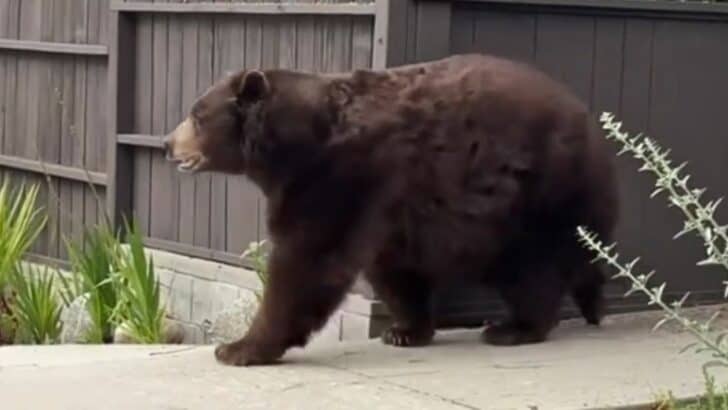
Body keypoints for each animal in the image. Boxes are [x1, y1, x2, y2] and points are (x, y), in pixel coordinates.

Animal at [163, 53, 619, 366]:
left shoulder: (339, 176)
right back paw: (589, 304)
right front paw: (405, 330)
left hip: (532, 193)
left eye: (196, 115)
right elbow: (394, 267)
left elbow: (307, 259)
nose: (168, 144)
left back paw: (513, 327)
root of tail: (592, 125)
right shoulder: (387, 202)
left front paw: (238, 347)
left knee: (532, 267)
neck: (293, 144)